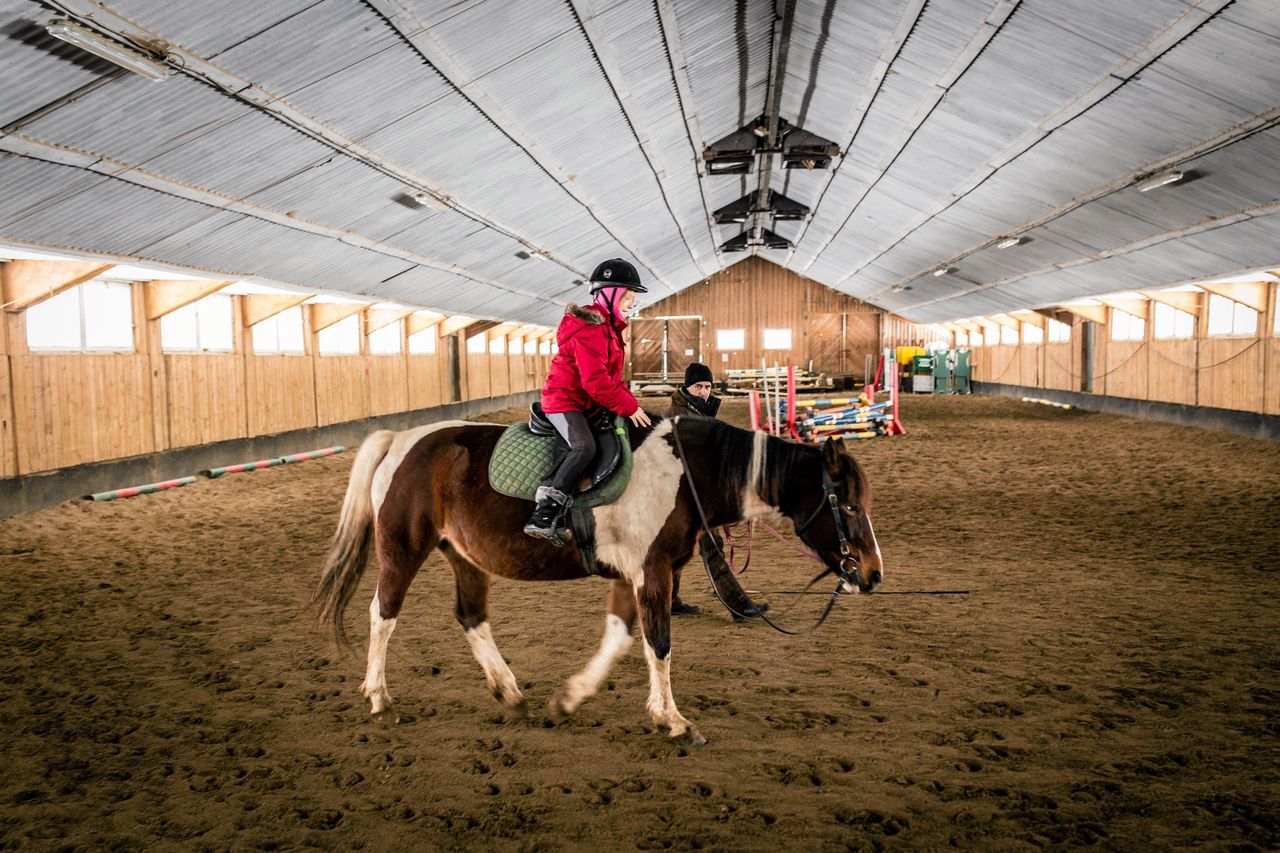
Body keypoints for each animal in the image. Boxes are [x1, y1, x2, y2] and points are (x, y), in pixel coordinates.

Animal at [309, 414, 880, 742]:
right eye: (848, 504)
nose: (872, 575)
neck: (687, 473)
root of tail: (400, 440)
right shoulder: (652, 573)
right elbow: (659, 644)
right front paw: (675, 721)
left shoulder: (632, 575)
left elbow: (620, 639)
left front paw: (571, 698)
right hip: (402, 550)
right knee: (382, 615)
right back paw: (379, 698)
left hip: (463, 556)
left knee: (470, 618)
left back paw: (510, 693)